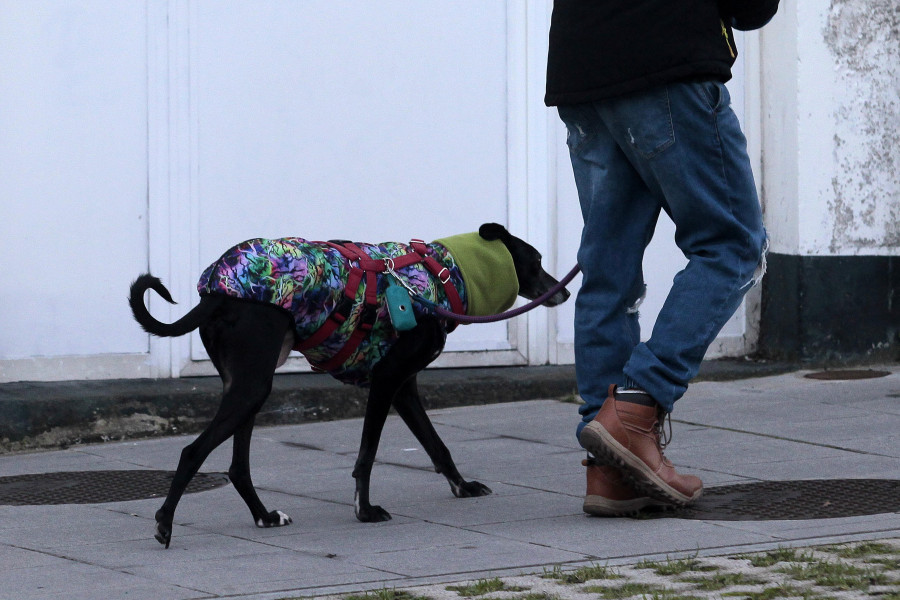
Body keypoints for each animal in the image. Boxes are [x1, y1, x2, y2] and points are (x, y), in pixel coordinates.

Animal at [129, 223, 568, 548]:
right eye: (537, 261)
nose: (562, 290)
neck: (440, 276)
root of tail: (215, 295)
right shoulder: (386, 382)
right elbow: (367, 455)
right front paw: (365, 510)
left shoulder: (404, 388)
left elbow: (436, 446)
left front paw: (462, 486)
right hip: (251, 389)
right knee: (192, 452)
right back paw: (165, 522)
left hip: (247, 389)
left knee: (237, 466)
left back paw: (264, 516)